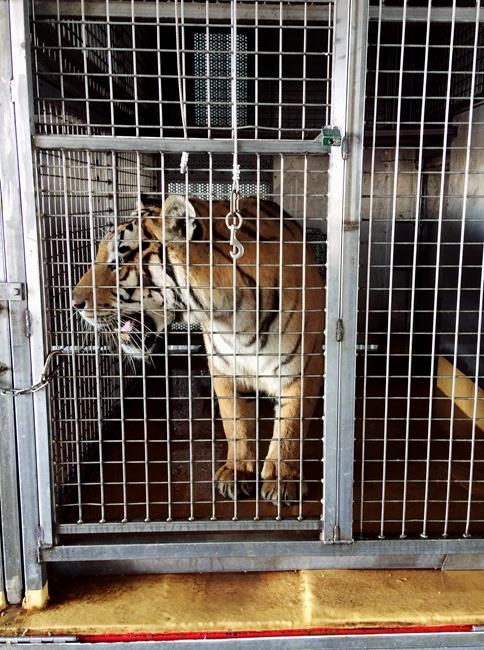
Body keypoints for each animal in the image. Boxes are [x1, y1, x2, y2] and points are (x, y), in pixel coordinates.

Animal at [72, 194, 325, 504]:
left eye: (120, 259)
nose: (74, 303)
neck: (234, 319)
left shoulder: (300, 371)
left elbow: (290, 426)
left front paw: (281, 480)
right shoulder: (224, 371)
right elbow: (236, 424)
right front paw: (237, 472)